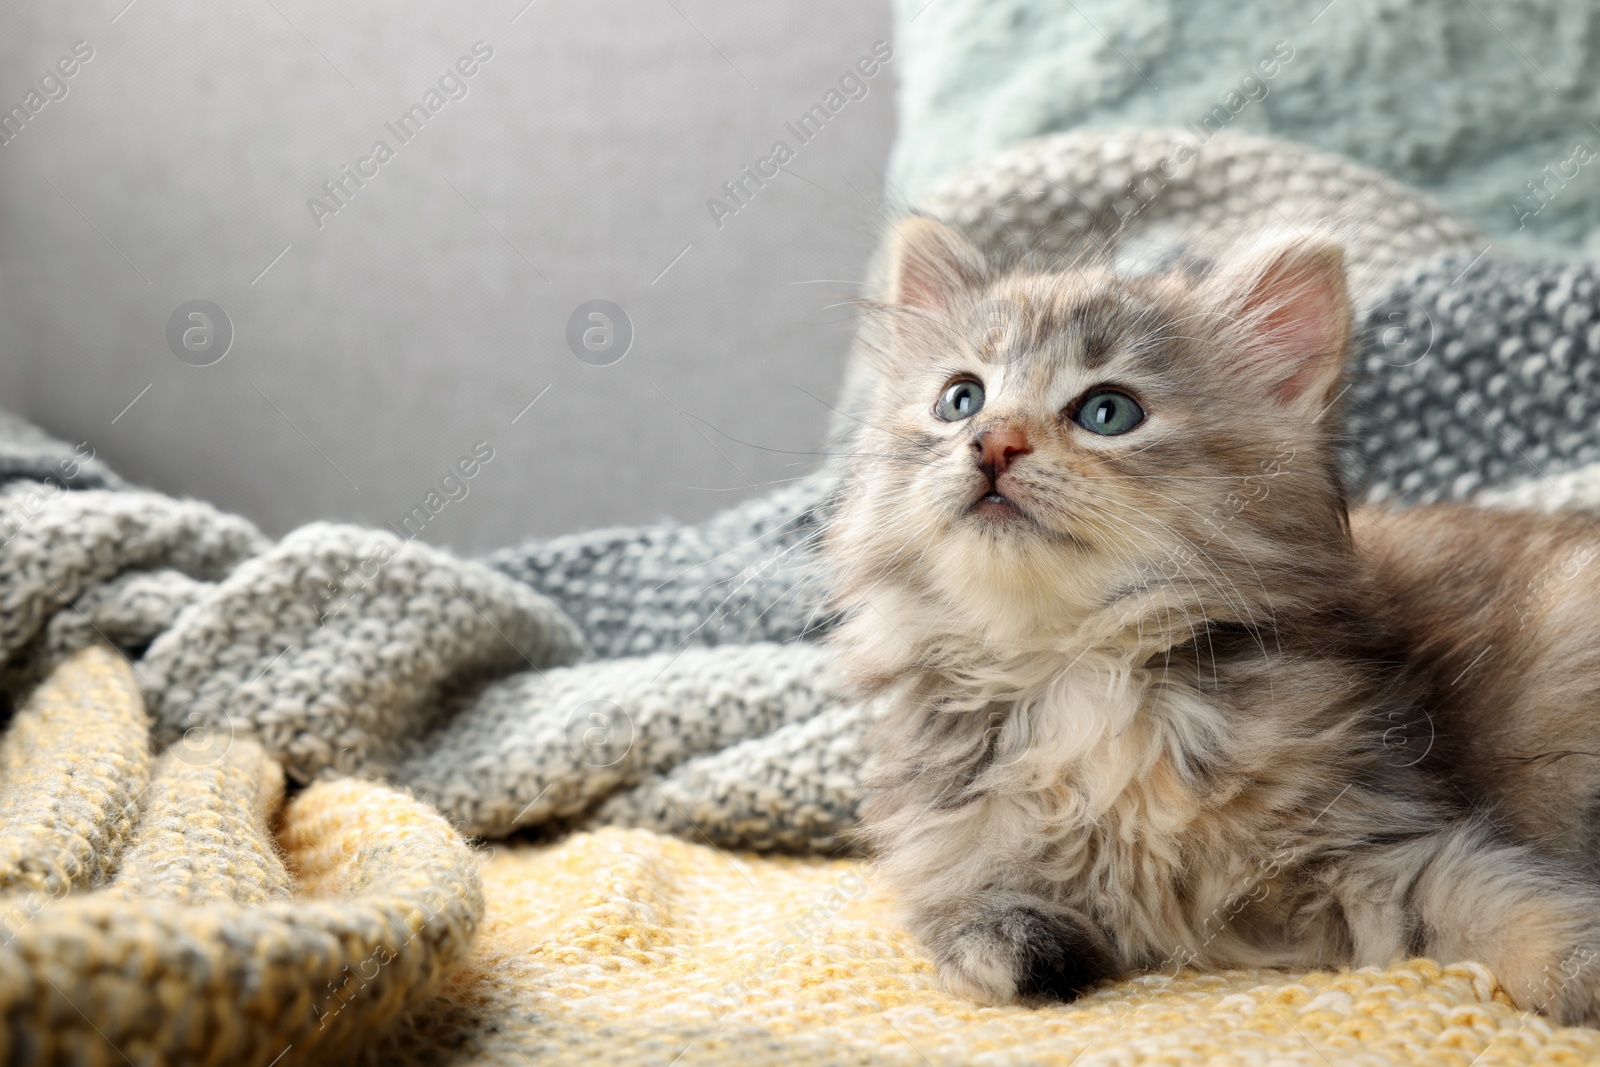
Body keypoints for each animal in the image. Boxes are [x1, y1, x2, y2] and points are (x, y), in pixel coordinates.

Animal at [825, 217, 1600, 1023]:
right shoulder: (944, 840)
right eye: (961, 400)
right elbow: (966, 906)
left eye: (1108, 412)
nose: (992, 442)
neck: (1076, 666)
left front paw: (1583, 968)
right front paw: (1010, 945)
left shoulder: (1374, 840)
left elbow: (1502, 900)